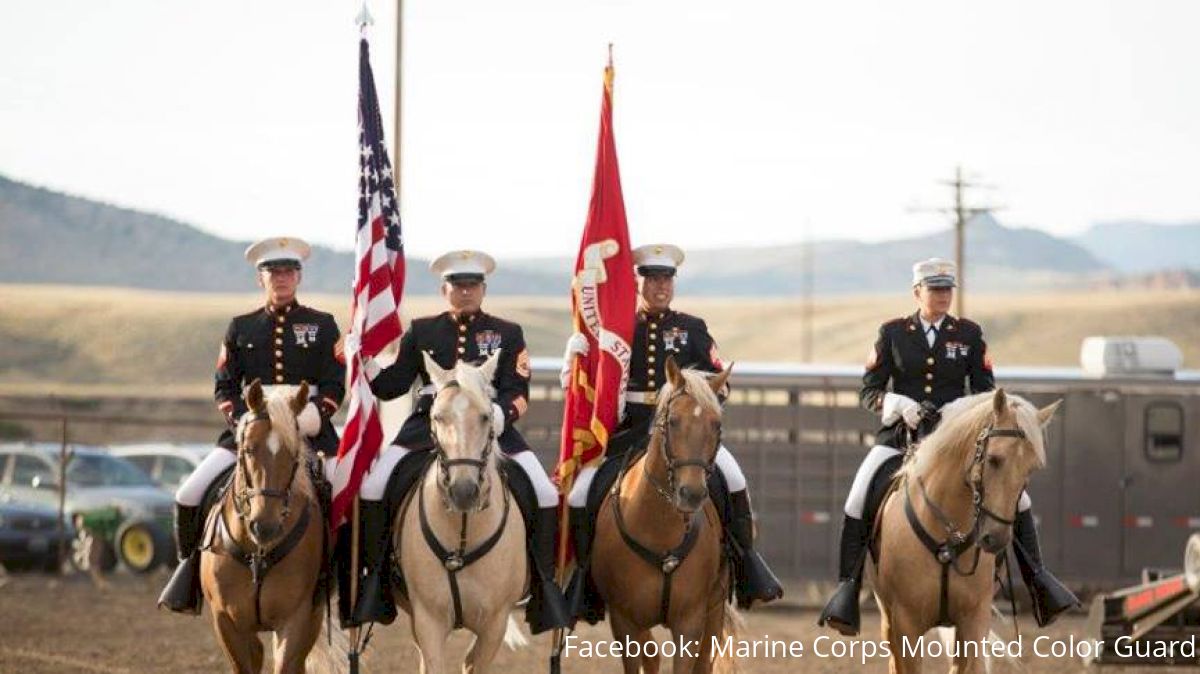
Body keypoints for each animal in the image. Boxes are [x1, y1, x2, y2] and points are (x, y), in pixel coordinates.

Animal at [200, 381, 326, 671]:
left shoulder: (296, 619)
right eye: (248, 449)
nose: (265, 526)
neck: (258, 553)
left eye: (293, 453)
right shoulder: (226, 622)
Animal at [391, 352, 528, 671]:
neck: (463, 534)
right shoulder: (428, 621)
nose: (463, 492)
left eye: (486, 417)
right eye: (438, 417)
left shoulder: (494, 625)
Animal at [590, 357, 739, 671]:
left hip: (715, 607)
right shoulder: (624, 620)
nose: (691, 493)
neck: (658, 528)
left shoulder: (690, 622)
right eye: (673, 421)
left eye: (716, 424)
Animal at [873, 388, 1060, 671]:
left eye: (1032, 469)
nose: (995, 539)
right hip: (888, 619)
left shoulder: (973, 620)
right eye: (994, 459)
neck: (946, 538)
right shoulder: (905, 623)